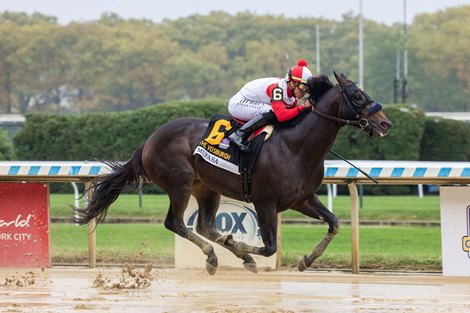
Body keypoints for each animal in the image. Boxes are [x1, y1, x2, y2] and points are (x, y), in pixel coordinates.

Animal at [76, 72, 392, 274]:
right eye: (358, 95)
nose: (385, 123)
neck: (295, 146)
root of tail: (149, 141)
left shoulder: (302, 199)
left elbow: (334, 223)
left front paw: (307, 259)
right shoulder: (266, 203)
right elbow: (269, 247)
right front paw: (241, 245)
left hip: (206, 187)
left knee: (204, 226)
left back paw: (226, 253)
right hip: (179, 184)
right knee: (175, 223)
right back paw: (216, 256)